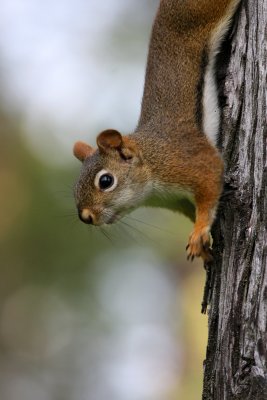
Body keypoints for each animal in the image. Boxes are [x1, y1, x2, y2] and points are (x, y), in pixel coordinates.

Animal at [73, 0, 243, 262]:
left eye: (106, 181)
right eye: (75, 186)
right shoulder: (177, 200)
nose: (86, 216)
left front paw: (199, 232)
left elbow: (210, 182)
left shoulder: (186, 161)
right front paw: (205, 248)